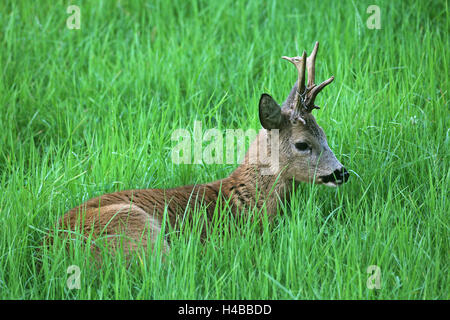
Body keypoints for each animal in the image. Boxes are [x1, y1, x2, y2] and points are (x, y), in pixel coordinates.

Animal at [51, 42, 348, 260]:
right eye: (302, 144)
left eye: (324, 135)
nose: (342, 172)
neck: (247, 200)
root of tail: (48, 255)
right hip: (135, 225)